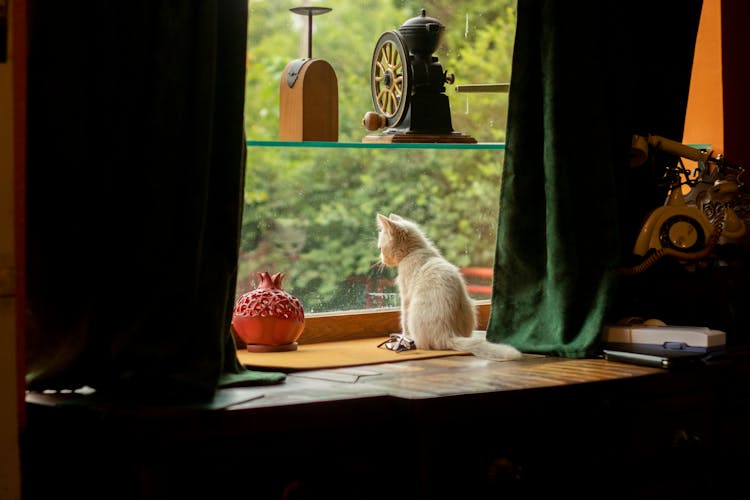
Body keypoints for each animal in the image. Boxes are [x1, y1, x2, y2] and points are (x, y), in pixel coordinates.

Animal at [376, 213, 524, 362]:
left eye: (380, 248)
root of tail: (448, 334)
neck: (416, 250)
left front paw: (404, 336)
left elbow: (403, 319)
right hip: (470, 305)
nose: (381, 259)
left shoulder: (405, 296)